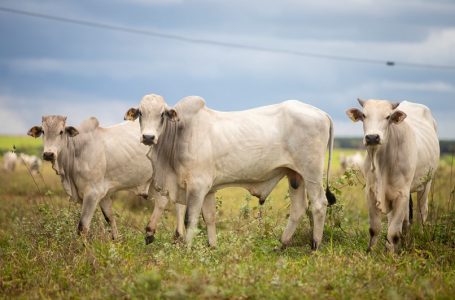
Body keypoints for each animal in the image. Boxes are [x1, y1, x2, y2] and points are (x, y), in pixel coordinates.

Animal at [27, 116, 185, 240]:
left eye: (61, 132)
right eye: (43, 132)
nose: (48, 154)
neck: (77, 151)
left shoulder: (92, 193)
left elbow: (82, 227)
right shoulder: (103, 194)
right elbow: (109, 218)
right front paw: (116, 241)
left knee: (179, 205)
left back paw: (178, 237)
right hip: (154, 182)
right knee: (162, 202)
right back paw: (152, 233)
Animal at [124, 94, 338, 248]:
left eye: (162, 114)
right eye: (141, 113)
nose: (148, 137)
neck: (179, 134)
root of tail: (322, 113)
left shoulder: (197, 186)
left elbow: (190, 219)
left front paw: (187, 249)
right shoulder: (208, 190)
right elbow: (209, 218)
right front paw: (212, 247)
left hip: (311, 173)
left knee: (319, 204)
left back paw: (315, 245)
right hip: (295, 175)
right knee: (299, 208)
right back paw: (282, 245)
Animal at [348, 99, 440, 252]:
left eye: (388, 116)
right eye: (364, 115)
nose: (372, 137)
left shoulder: (402, 194)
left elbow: (394, 232)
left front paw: (391, 254)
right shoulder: (371, 192)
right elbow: (374, 229)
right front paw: (372, 251)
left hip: (427, 182)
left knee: (422, 212)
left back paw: (420, 236)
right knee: (404, 220)